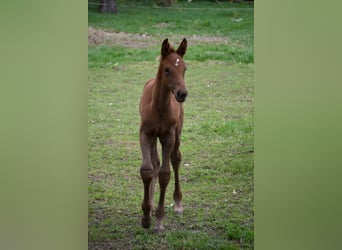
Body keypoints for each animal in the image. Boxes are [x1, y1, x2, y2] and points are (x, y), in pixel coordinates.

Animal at [138, 38, 187, 232]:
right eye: (167, 69)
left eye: (185, 68)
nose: (182, 93)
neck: (158, 106)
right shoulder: (145, 133)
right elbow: (147, 170)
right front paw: (146, 216)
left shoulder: (169, 136)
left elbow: (165, 174)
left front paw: (159, 220)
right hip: (153, 137)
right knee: (155, 163)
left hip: (177, 133)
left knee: (175, 158)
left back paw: (178, 203)